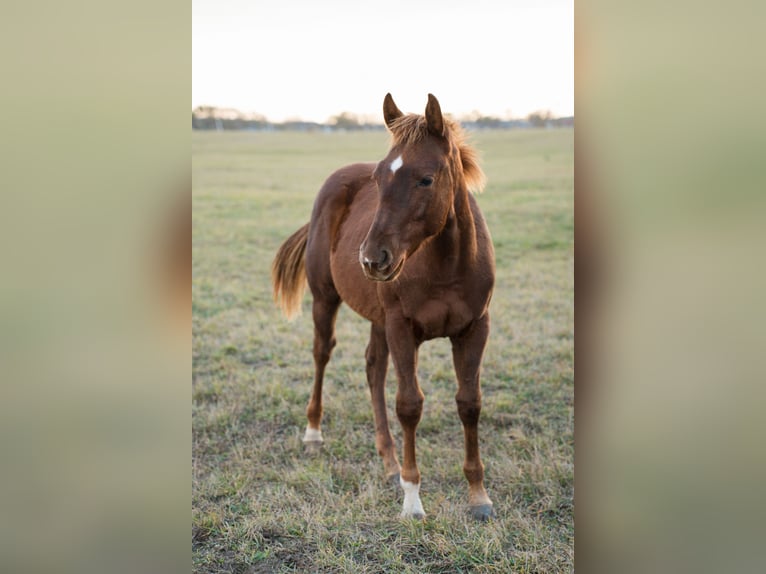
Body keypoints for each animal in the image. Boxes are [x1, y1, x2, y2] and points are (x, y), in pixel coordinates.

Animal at [271, 94, 495, 521]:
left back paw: (389, 461)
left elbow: (469, 403)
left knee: (374, 368)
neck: (447, 264)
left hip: (378, 319)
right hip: (327, 299)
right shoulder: (402, 326)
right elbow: (408, 404)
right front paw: (412, 499)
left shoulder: (474, 328)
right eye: (378, 179)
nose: (372, 259)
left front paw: (478, 495)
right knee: (322, 353)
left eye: (426, 179)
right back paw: (314, 433)